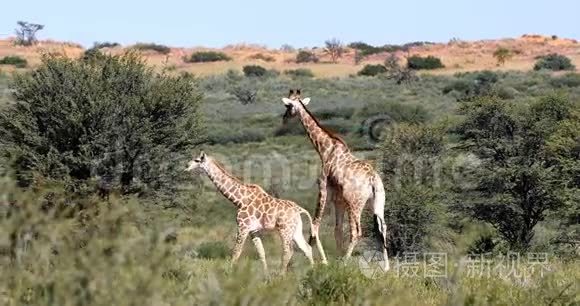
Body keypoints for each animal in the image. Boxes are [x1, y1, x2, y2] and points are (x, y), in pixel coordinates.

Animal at [188, 152, 328, 274]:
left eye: (197, 160)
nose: (186, 166)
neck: (239, 200)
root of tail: (299, 209)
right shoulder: (254, 230)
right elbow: (261, 253)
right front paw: (266, 277)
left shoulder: (243, 226)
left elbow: (236, 252)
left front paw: (228, 274)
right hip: (296, 229)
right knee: (307, 248)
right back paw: (312, 272)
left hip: (285, 229)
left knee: (288, 250)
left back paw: (281, 276)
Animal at [280, 88, 390, 270]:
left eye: (288, 106)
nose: (284, 118)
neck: (325, 149)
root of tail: (373, 180)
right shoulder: (339, 200)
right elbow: (337, 230)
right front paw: (335, 257)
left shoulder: (324, 188)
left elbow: (315, 225)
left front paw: (325, 261)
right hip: (377, 202)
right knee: (383, 228)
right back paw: (387, 267)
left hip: (355, 204)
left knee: (356, 232)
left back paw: (345, 262)